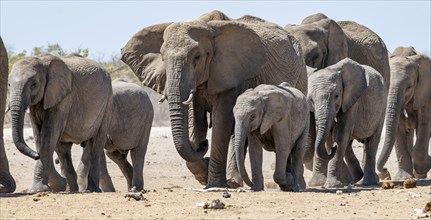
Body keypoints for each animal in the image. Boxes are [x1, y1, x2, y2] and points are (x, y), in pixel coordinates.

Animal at [9, 54, 113, 192]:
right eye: (9, 84)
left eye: (34, 84)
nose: (36, 155)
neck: (41, 60)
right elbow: (38, 136)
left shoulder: (64, 99)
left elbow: (48, 136)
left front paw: (39, 190)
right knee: (64, 149)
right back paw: (72, 190)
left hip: (107, 102)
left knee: (97, 142)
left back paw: (91, 190)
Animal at [121, 11, 308, 188]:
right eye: (162, 58)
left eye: (197, 57)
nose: (204, 145)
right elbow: (196, 122)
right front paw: (204, 173)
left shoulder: (231, 73)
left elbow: (222, 121)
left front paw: (214, 183)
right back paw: (234, 182)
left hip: (301, 74)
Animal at [308, 56, 386, 187]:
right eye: (311, 100)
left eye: (336, 96)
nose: (333, 148)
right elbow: (328, 135)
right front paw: (318, 184)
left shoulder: (352, 101)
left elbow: (340, 135)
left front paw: (332, 185)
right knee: (349, 143)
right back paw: (356, 179)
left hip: (382, 108)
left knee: (372, 141)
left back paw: (368, 182)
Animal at [378, 47, 431, 180]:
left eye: (409, 87)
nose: (385, 173)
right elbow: (399, 128)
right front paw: (404, 178)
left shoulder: (425, 93)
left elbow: (424, 124)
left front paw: (424, 168)